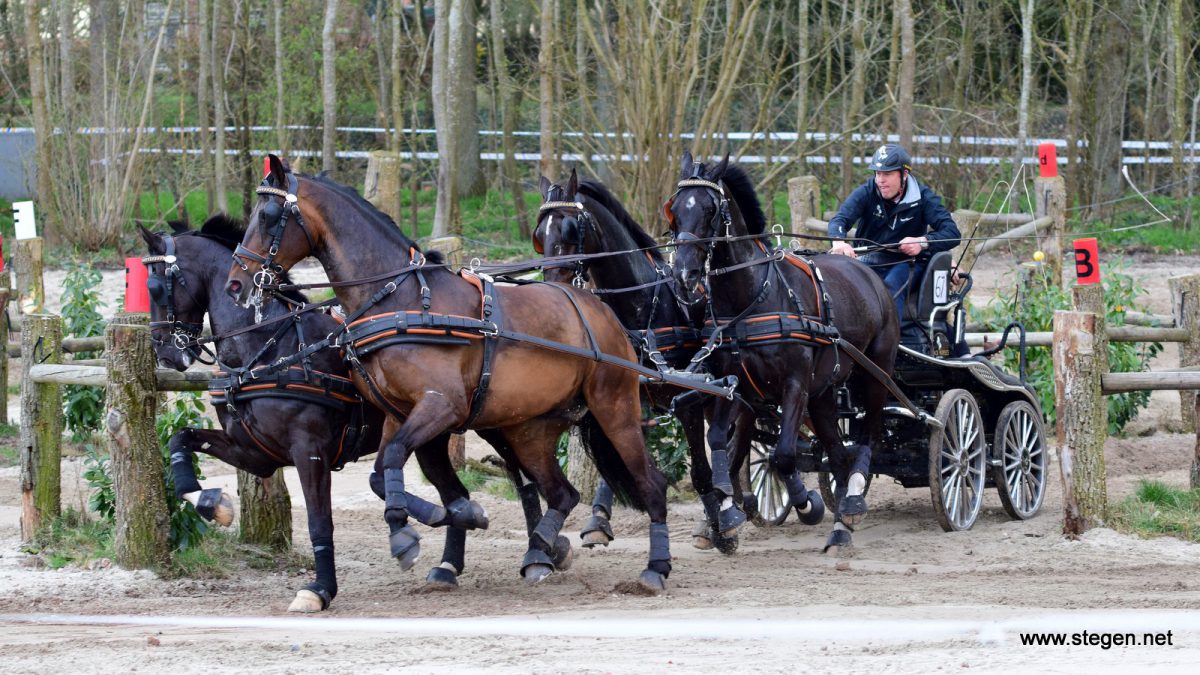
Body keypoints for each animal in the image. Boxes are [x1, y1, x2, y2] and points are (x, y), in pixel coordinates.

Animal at [225, 153, 676, 588]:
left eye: (268, 216)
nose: (236, 284)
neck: (402, 301)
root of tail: (599, 308)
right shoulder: (398, 414)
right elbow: (380, 474)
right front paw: (452, 515)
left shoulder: (441, 406)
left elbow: (393, 460)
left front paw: (409, 534)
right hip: (528, 430)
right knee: (561, 493)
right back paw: (543, 545)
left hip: (614, 408)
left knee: (650, 483)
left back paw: (653, 567)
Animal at [535, 169, 748, 552]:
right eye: (539, 234)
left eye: (572, 229)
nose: (553, 290)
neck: (644, 303)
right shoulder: (627, 395)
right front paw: (598, 519)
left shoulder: (689, 399)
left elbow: (700, 471)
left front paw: (722, 525)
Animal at [667, 149, 902, 550]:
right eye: (675, 208)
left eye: (711, 209)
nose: (684, 273)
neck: (754, 296)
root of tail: (867, 271)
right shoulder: (733, 385)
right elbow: (723, 442)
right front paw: (725, 511)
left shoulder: (794, 384)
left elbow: (784, 455)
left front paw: (807, 504)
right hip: (823, 392)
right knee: (837, 453)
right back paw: (841, 525)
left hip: (875, 374)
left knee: (867, 436)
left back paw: (853, 501)